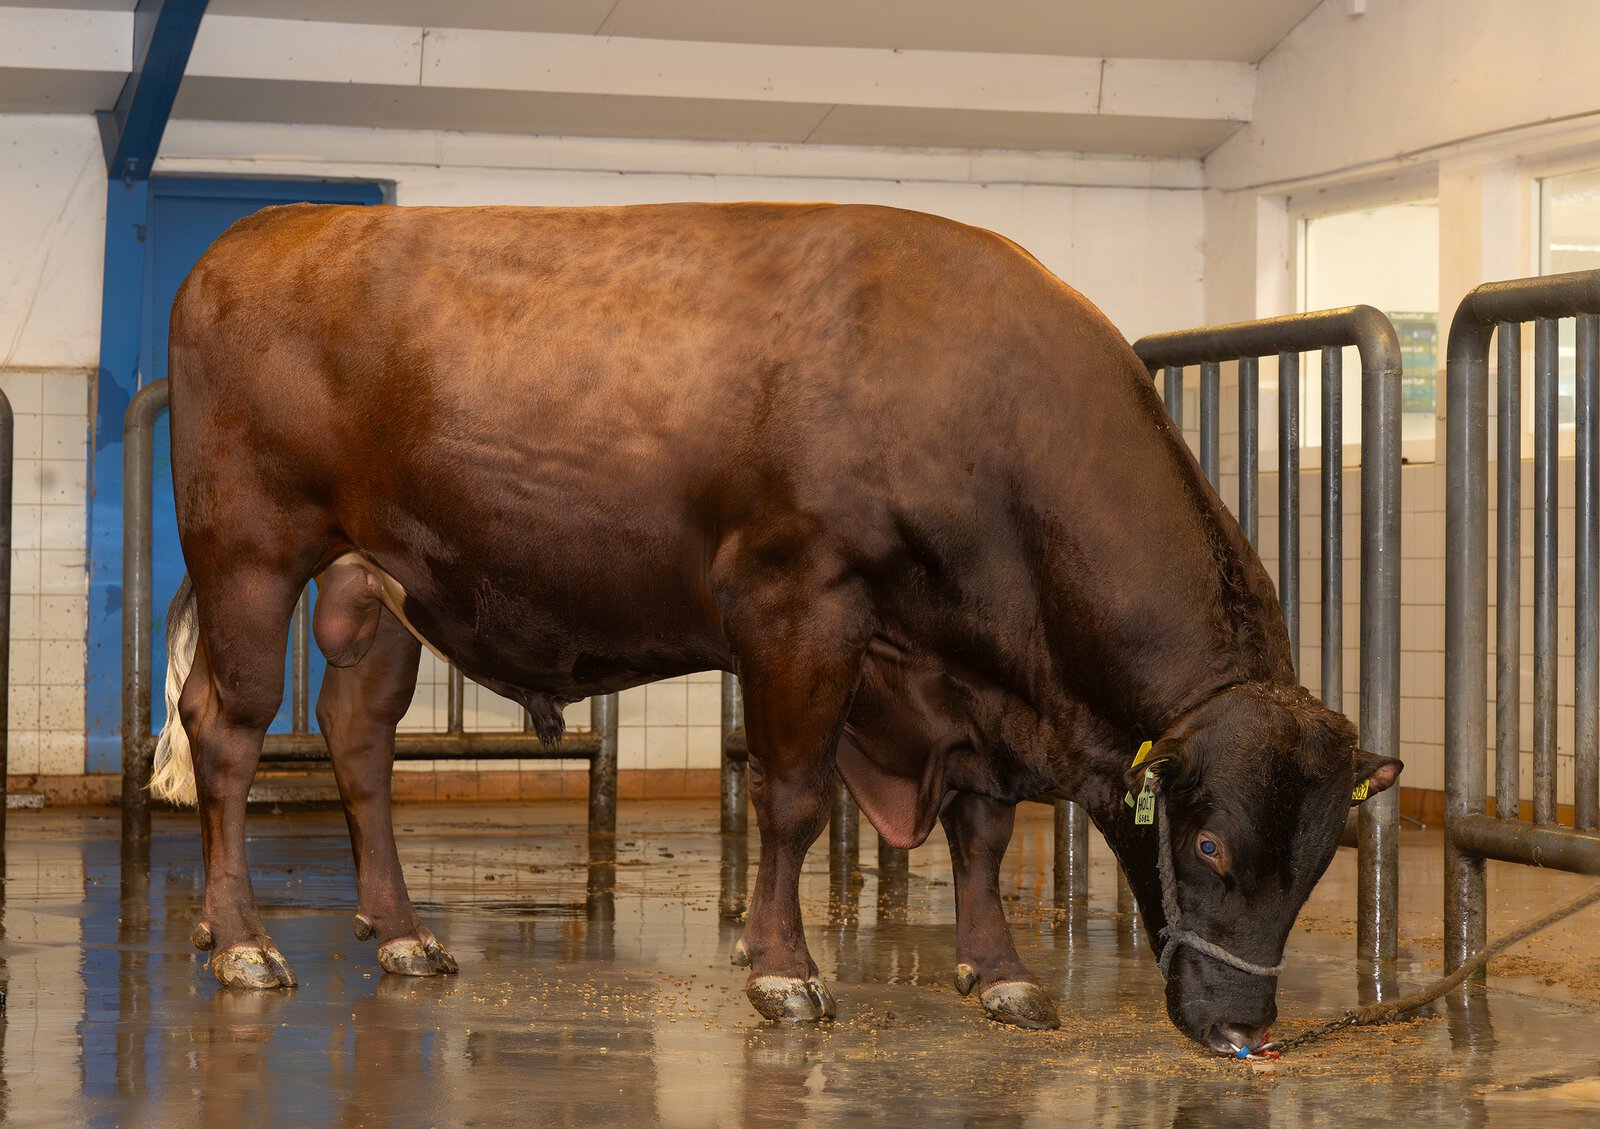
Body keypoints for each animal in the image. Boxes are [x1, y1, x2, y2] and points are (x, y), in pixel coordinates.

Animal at [149, 201, 1399, 1055]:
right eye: (1208, 845)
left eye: (1315, 861)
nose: (1240, 1022)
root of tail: (268, 226)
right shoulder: (800, 602)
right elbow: (794, 797)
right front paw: (783, 968)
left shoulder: (966, 677)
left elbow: (983, 832)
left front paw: (998, 972)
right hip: (249, 553)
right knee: (229, 733)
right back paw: (243, 938)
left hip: (374, 592)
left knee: (359, 742)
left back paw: (401, 930)